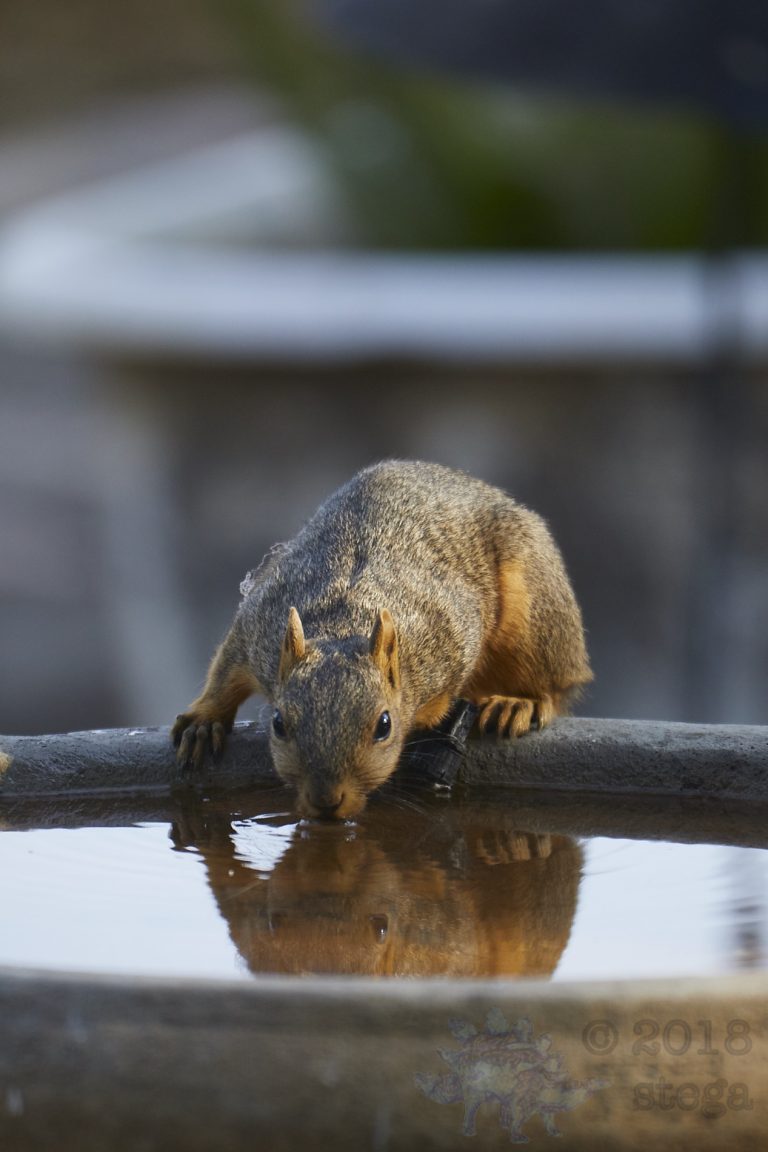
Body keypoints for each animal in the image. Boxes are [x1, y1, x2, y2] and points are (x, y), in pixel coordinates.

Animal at [172, 460, 592, 819]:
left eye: (384, 726)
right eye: (278, 723)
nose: (327, 801)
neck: (343, 623)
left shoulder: (449, 642)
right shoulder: (260, 626)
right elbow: (226, 670)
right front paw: (203, 722)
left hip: (537, 616)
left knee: (554, 686)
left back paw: (518, 703)